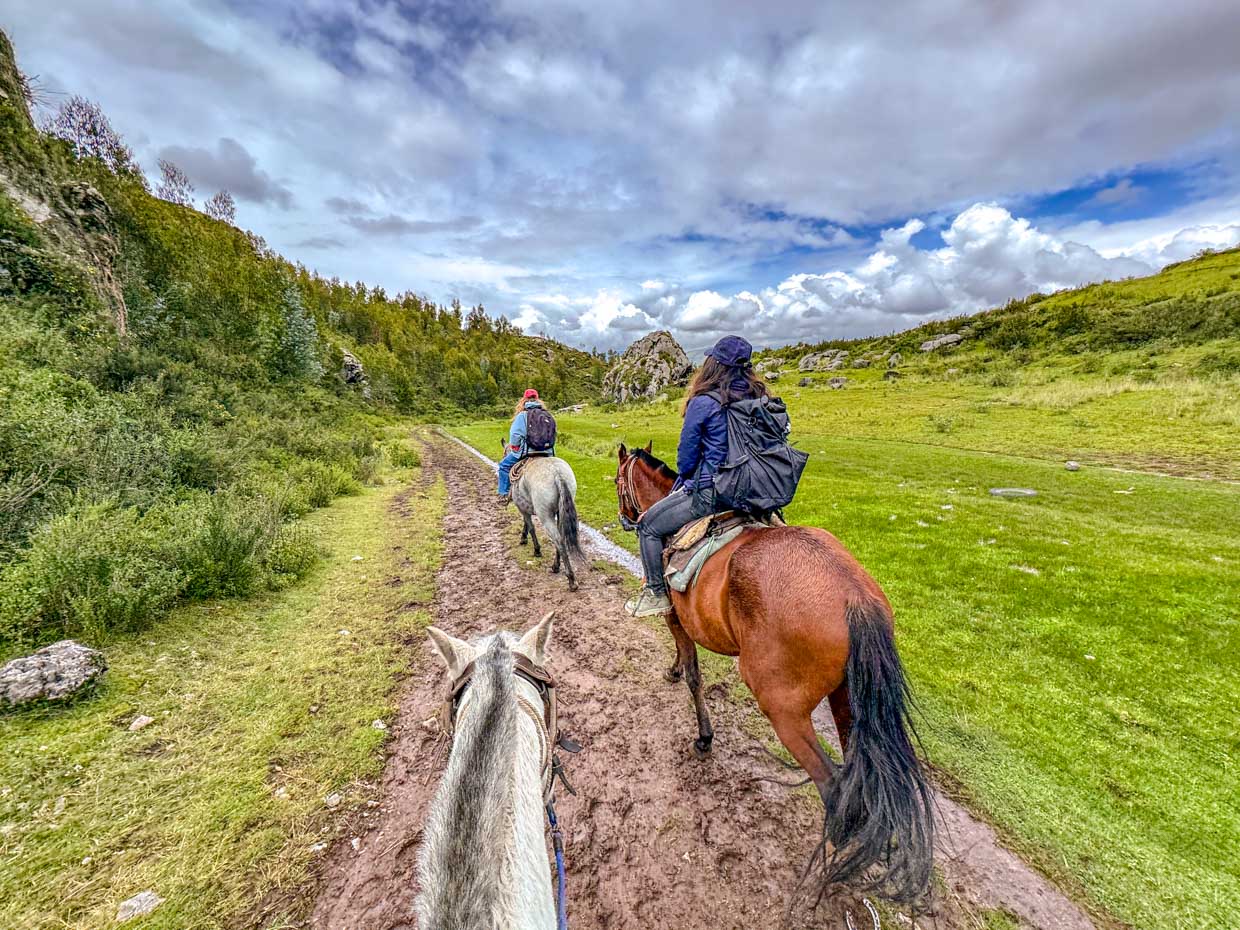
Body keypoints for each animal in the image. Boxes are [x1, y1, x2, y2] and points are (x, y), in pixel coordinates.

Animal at [511, 454, 586, 591]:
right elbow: (527, 524)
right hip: (561, 511)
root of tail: (557, 474)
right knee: (561, 537)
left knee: (558, 540)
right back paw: (556, 566)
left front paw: (536, 549)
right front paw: (524, 538)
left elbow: (531, 527)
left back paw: (571, 579)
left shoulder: (522, 509)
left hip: (545, 516)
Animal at [614, 442, 934, 905]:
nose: (626, 518)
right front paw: (673, 671)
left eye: (616, 479)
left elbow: (694, 675)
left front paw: (703, 735)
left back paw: (827, 864)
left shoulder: (676, 618)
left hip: (782, 706)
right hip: (848, 702)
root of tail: (854, 597)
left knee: (833, 787)